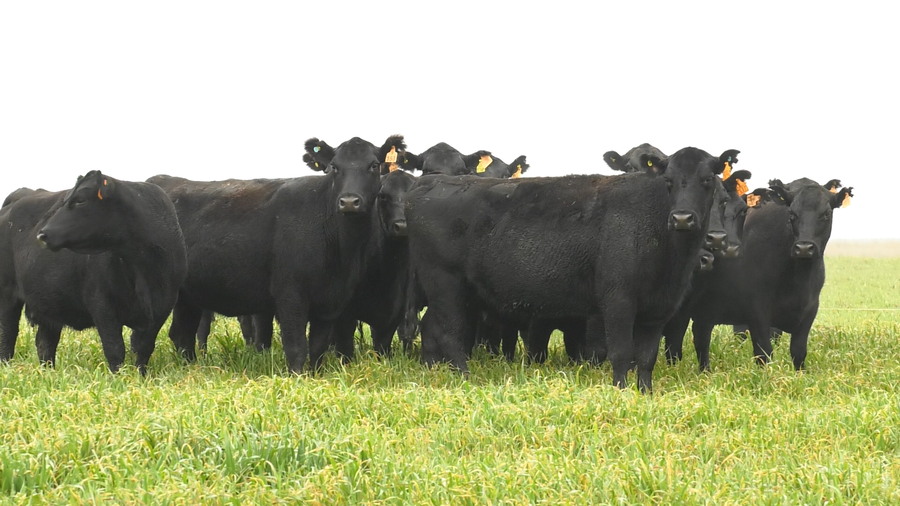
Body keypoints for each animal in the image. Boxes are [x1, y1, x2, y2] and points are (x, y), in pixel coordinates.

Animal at [0, 171, 187, 373]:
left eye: (80, 200)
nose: (42, 234)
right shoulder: (101, 303)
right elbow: (115, 348)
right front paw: (118, 376)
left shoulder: (163, 305)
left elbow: (143, 348)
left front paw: (141, 375)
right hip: (7, 295)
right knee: (7, 335)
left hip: (49, 301)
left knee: (45, 343)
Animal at [153, 135, 404, 373]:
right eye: (334, 166)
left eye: (373, 165)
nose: (349, 202)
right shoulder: (290, 296)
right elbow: (296, 348)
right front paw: (297, 377)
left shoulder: (328, 304)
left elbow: (318, 348)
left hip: (188, 296)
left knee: (182, 334)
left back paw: (191, 367)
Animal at [406, 147, 738, 392]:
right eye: (668, 181)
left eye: (707, 180)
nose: (682, 218)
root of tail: (429, 183)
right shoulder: (617, 302)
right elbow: (621, 352)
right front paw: (621, 391)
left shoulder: (658, 309)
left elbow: (646, 358)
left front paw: (645, 392)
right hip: (445, 282)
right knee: (451, 333)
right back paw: (464, 378)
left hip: (460, 291)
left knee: (432, 327)